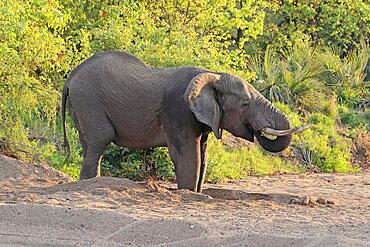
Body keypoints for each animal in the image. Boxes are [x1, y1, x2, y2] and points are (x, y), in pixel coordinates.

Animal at [62, 50, 304, 193]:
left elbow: (202, 158)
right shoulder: (179, 112)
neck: (212, 74)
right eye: (245, 104)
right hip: (88, 100)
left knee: (88, 143)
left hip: (82, 105)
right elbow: (189, 156)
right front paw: (187, 193)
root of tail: (71, 76)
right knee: (100, 139)